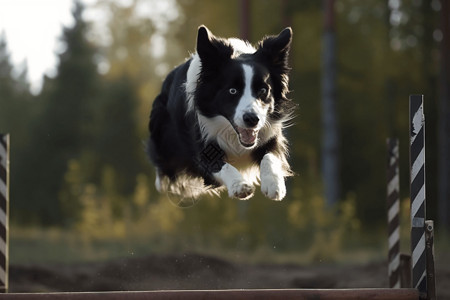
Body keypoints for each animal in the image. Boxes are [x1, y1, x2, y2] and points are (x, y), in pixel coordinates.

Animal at [148, 25, 296, 199]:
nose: (252, 119)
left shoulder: (270, 134)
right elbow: (222, 165)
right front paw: (239, 185)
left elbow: (270, 156)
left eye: (263, 90)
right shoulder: (201, 147)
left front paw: (274, 184)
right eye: (232, 91)